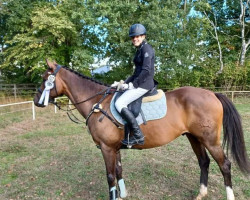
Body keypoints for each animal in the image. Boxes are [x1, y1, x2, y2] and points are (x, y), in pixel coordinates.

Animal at [33, 60, 250, 200]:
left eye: (45, 79)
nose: (36, 101)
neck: (98, 103)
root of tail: (212, 94)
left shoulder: (106, 148)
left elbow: (110, 176)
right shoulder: (114, 148)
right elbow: (119, 171)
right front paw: (123, 195)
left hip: (210, 140)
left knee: (225, 165)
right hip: (194, 137)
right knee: (204, 162)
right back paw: (201, 194)